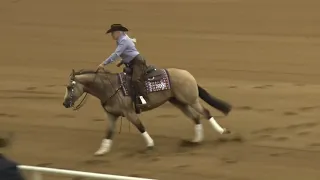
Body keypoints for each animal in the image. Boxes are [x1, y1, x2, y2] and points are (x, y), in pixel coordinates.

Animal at [62, 65, 232, 155]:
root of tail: (188, 75)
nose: (64, 103)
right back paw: (196, 140)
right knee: (196, 118)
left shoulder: (129, 113)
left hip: (191, 100)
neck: (109, 87)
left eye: (70, 87)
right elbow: (109, 132)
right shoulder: (111, 115)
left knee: (206, 113)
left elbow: (140, 126)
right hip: (179, 103)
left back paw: (221, 131)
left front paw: (150, 144)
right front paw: (101, 151)